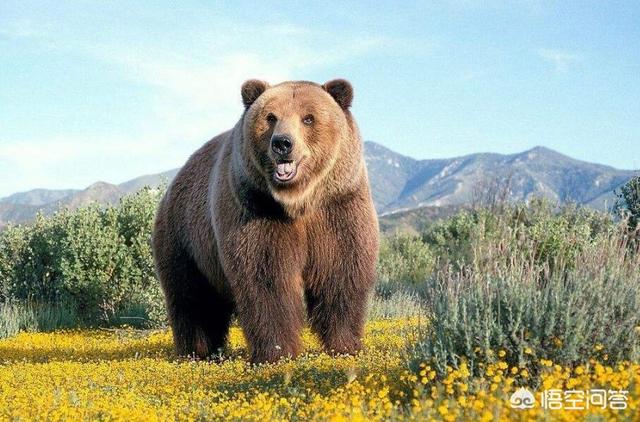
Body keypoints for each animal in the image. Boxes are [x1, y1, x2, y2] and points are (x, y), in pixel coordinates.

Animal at [152, 78, 378, 362]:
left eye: (308, 118)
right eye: (271, 117)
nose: (282, 143)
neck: (298, 202)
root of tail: (175, 181)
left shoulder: (338, 207)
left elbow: (341, 271)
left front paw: (345, 345)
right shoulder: (256, 209)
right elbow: (266, 278)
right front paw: (276, 352)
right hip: (185, 238)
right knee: (192, 298)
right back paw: (197, 351)